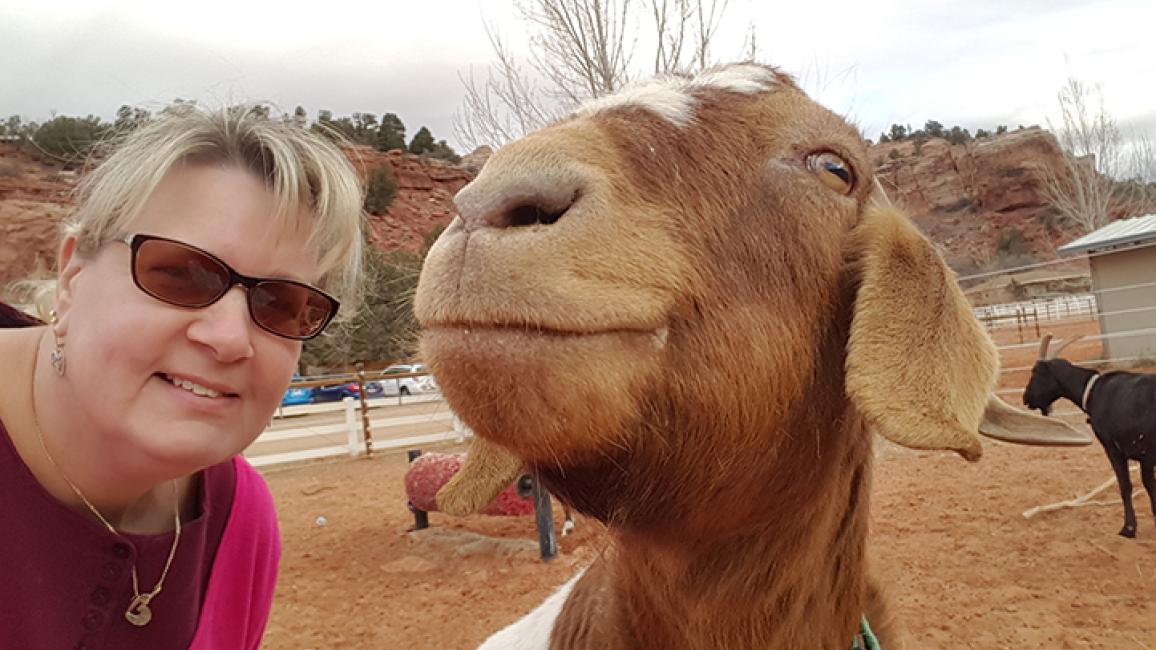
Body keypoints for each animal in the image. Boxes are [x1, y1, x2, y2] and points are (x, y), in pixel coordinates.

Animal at [1024, 333, 1156, 538]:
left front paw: (1128, 528)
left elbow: (1128, 485)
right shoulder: (1143, 456)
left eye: (1036, 372)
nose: (1025, 398)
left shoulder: (1121, 449)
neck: (1093, 391)